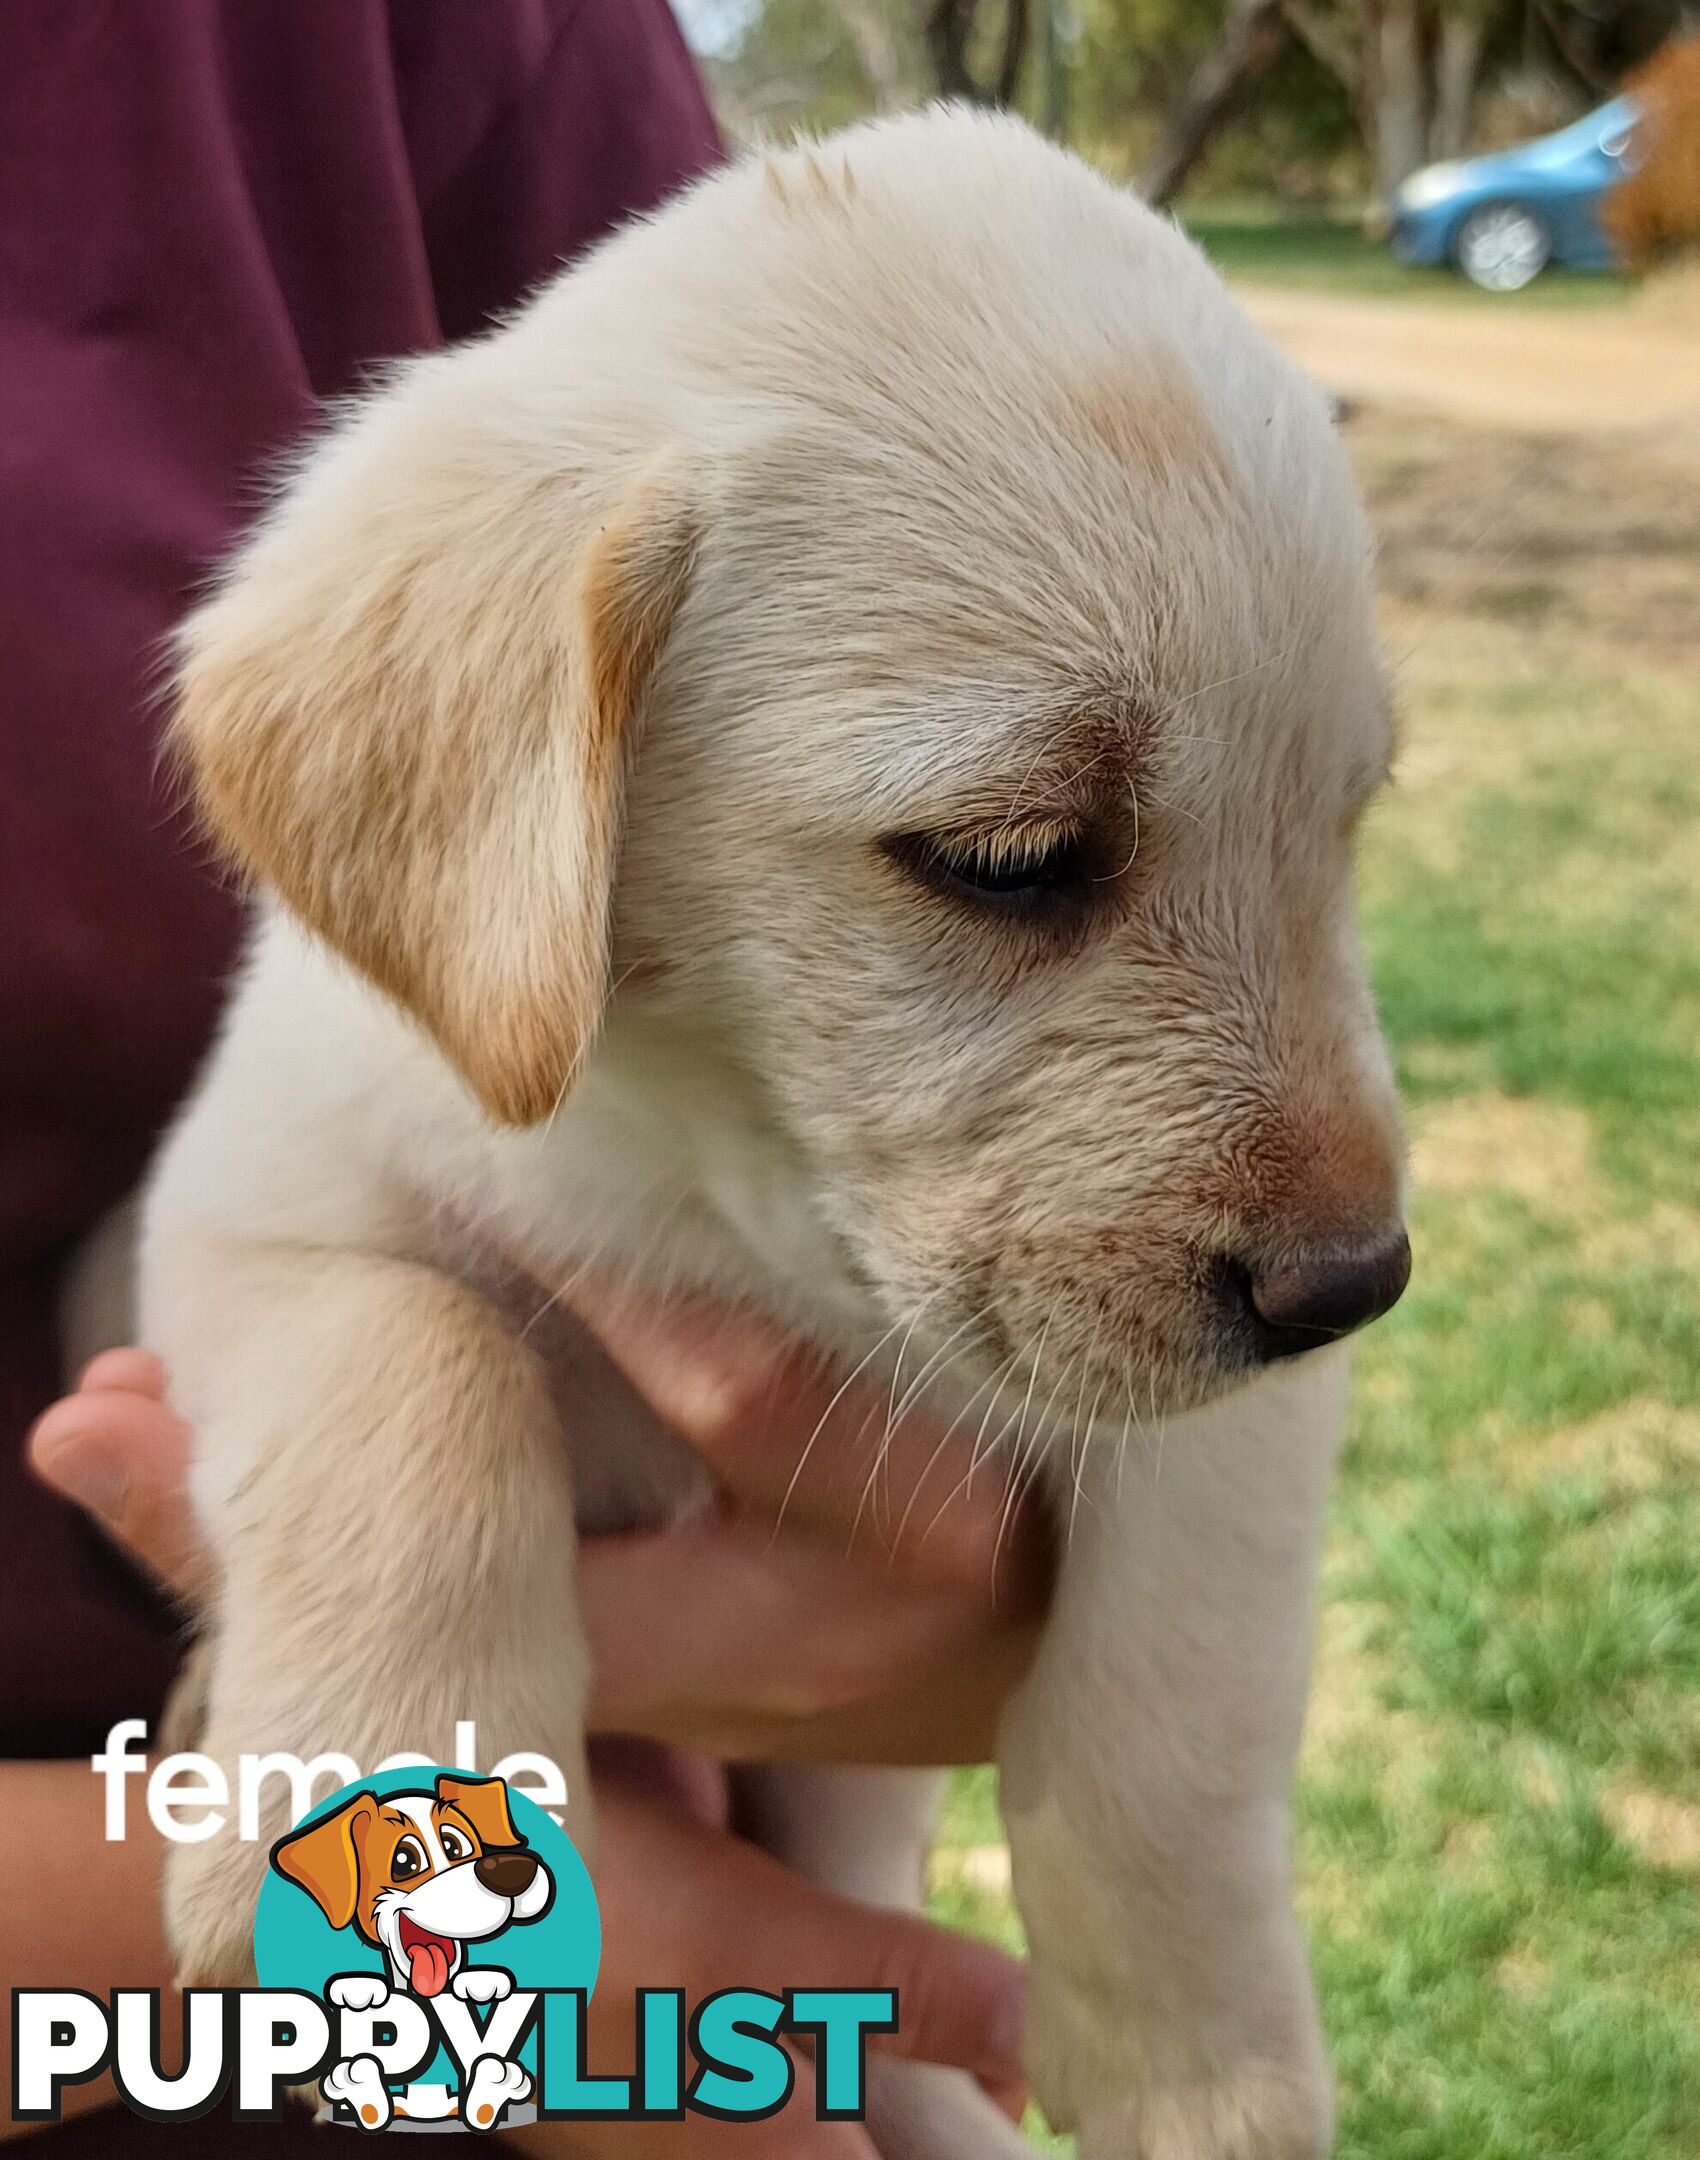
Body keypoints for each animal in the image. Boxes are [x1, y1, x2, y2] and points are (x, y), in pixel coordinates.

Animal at [136, 109, 1408, 2160]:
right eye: (1011, 859)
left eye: (1346, 825)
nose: (1359, 1284)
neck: (714, 1194)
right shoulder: (243, 1223)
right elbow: (423, 1356)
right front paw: (365, 1784)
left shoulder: (1244, 1430)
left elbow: (1174, 1724)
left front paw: (1198, 2075)